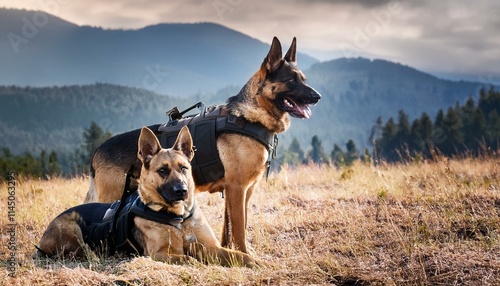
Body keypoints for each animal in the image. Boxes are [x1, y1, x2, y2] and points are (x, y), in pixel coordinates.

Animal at [85, 36, 320, 254]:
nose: (317, 96)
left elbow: (230, 229)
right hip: (114, 200)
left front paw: (231, 252)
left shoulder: (241, 191)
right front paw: (245, 254)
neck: (250, 117)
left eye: (303, 79)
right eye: (291, 80)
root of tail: (96, 152)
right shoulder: (238, 188)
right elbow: (240, 228)